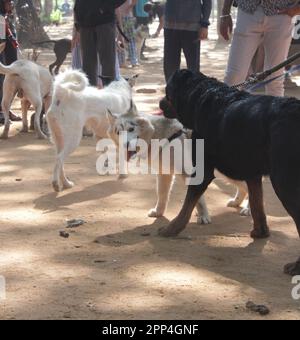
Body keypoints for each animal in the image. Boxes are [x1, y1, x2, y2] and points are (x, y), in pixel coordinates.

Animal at [159, 69, 300, 276]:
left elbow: (187, 204)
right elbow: (257, 204)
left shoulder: (203, 170)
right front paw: (260, 232)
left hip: (285, 183)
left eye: (168, 91)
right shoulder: (252, 174)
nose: (160, 102)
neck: (202, 96)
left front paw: (171, 229)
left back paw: (296, 266)